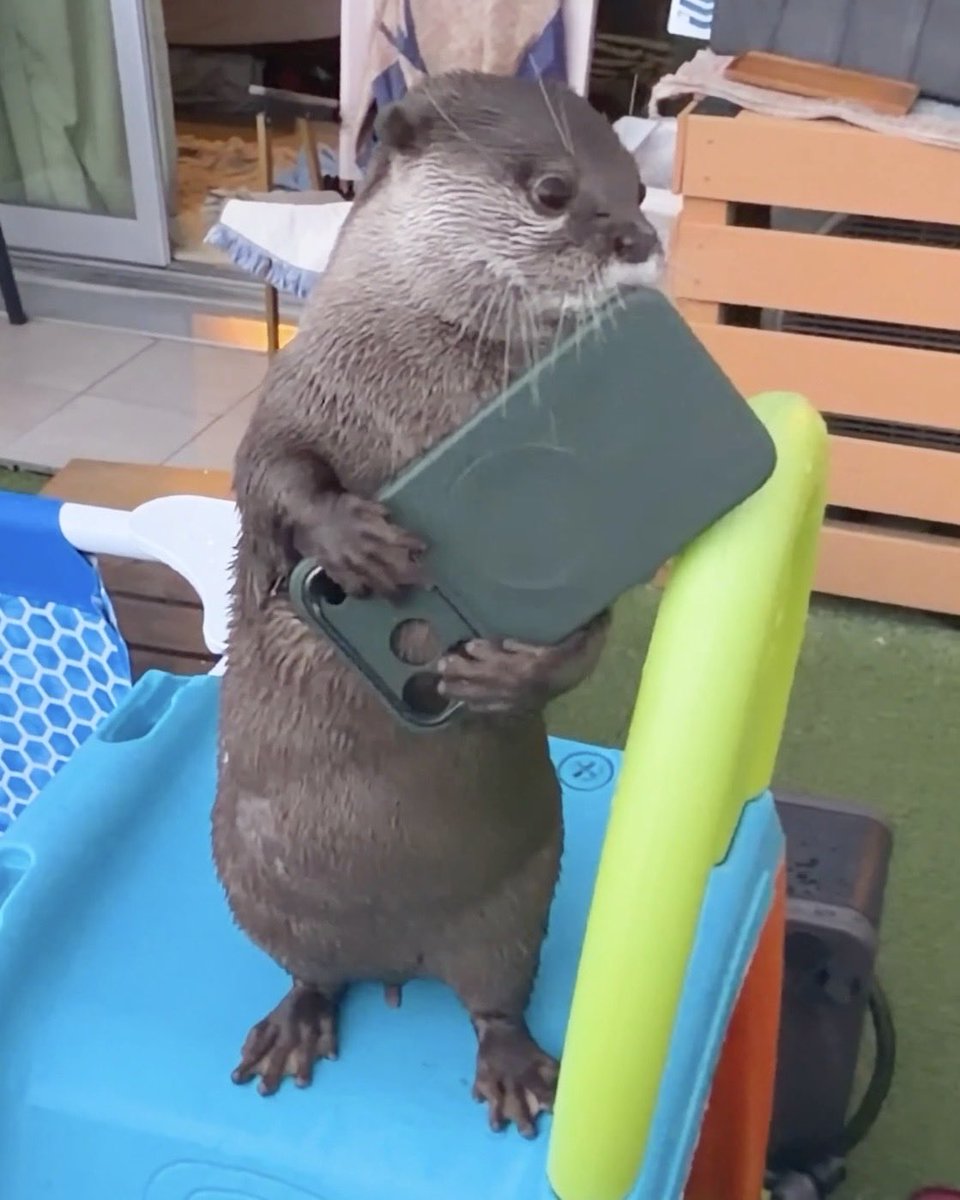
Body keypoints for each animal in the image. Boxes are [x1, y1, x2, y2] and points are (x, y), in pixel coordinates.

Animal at [214, 69, 663, 1138]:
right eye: (553, 190)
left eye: (636, 187)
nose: (640, 239)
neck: (428, 392)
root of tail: (397, 956)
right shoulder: (294, 393)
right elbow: (272, 475)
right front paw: (352, 540)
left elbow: (595, 623)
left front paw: (511, 674)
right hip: (253, 893)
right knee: (309, 969)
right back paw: (295, 1023)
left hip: (522, 899)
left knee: (494, 994)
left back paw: (515, 1069)